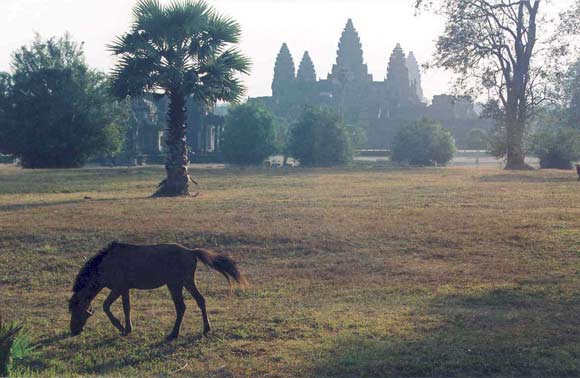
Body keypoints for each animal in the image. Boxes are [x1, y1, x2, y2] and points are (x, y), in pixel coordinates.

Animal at [67, 242, 245, 340]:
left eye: (76, 310)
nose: (73, 330)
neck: (106, 264)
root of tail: (191, 251)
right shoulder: (124, 289)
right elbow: (126, 308)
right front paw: (128, 328)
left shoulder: (117, 289)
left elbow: (106, 306)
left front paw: (120, 327)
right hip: (187, 282)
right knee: (200, 300)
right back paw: (206, 328)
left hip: (175, 285)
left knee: (181, 307)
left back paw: (174, 333)